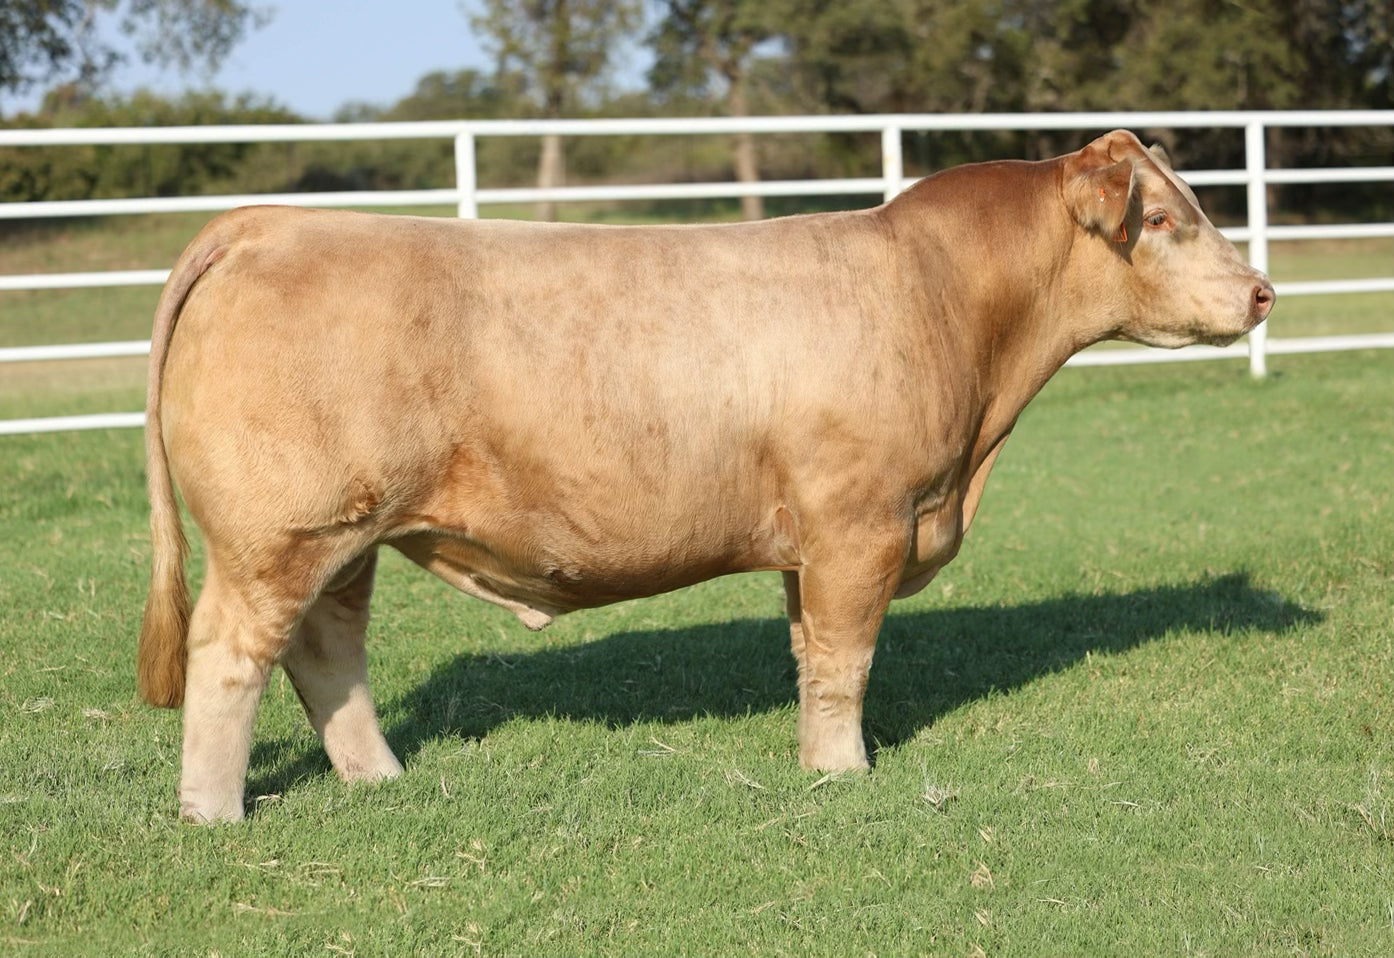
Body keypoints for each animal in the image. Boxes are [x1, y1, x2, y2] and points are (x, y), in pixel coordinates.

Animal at [137, 130, 1274, 823]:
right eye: (1162, 220)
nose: (1263, 292)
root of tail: (270, 222)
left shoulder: (814, 539)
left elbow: (811, 653)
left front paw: (820, 759)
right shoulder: (861, 521)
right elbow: (848, 658)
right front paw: (844, 773)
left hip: (345, 538)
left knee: (326, 650)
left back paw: (378, 778)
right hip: (281, 532)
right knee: (231, 653)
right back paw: (213, 813)